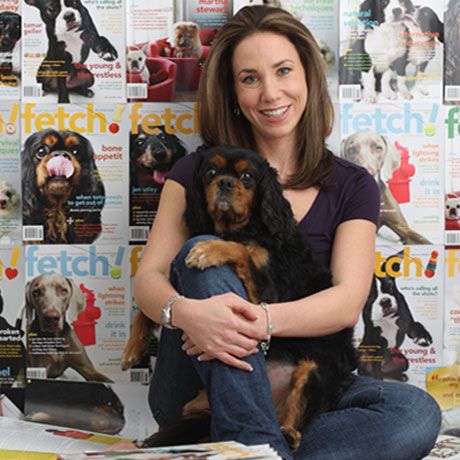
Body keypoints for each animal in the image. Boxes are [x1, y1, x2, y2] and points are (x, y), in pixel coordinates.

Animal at [126, 146, 360, 452]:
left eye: (247, 177)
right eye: (210, 172)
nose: (225, 183)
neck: (239, 228)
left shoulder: (266, 295)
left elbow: (241, 250)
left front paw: (208, 249)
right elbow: (154, 305)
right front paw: (133, 347)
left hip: (314, 372)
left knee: (297, 424)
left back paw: (287, 434)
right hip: (196, 405)